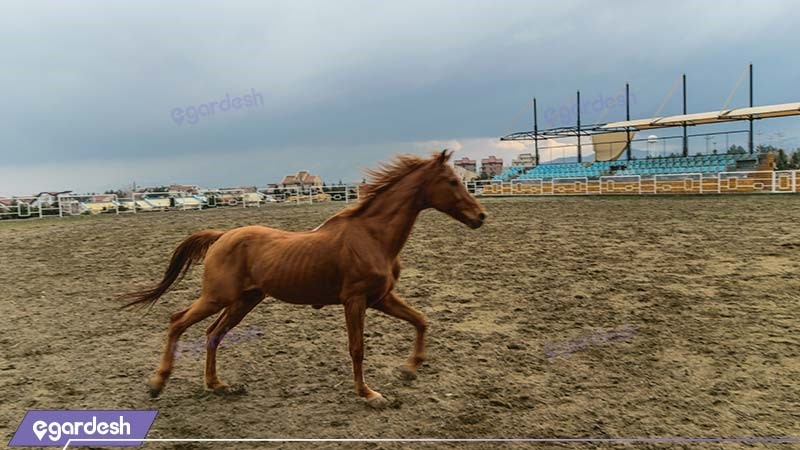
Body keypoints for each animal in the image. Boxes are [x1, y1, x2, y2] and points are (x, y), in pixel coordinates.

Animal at [122, 150, 484, 408]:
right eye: (453, 182)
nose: (480, 216)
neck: (372, 236)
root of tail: (223, 235)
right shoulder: (354, 301)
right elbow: (357, 348)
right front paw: (368, 394)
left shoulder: (381, 298)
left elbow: (421, 320)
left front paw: (409, 369)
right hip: (218, 297)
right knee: (178, 321)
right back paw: (157, 384)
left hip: (245, 300)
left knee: (213, 334)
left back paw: (217, 385)